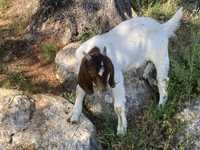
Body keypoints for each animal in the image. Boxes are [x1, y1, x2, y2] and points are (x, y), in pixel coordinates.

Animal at [68, 7, 183, 136]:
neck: (94, 48)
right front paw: (74, 114)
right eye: (92, 73)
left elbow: (118, 106)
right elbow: (79, 89)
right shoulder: (82, 73)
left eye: (108, 72)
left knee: (163, 80)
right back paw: (146, 74)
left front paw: (122, 129)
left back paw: (160, 106)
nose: (103, 90)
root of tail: (162, 27)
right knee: (151, 64)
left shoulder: (116, 77)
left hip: (160, 55)